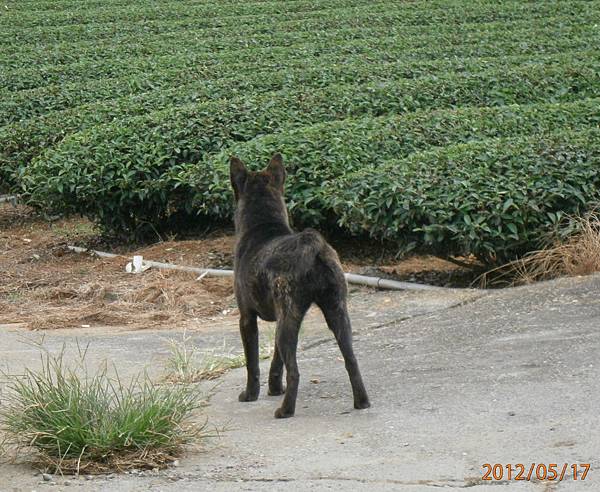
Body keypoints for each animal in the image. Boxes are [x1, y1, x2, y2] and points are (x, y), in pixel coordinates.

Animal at [231, 154, 368, 418]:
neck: (264, 226)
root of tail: (313, 244)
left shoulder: (246, 318)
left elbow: (252, 363)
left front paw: (250, 395)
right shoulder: (280, 318)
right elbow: (276, 361)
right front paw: (274, 388)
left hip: (289, 321)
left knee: (295, 371)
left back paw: (285, 410)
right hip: (335, 313)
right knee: (352, 360)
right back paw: (362, 402)